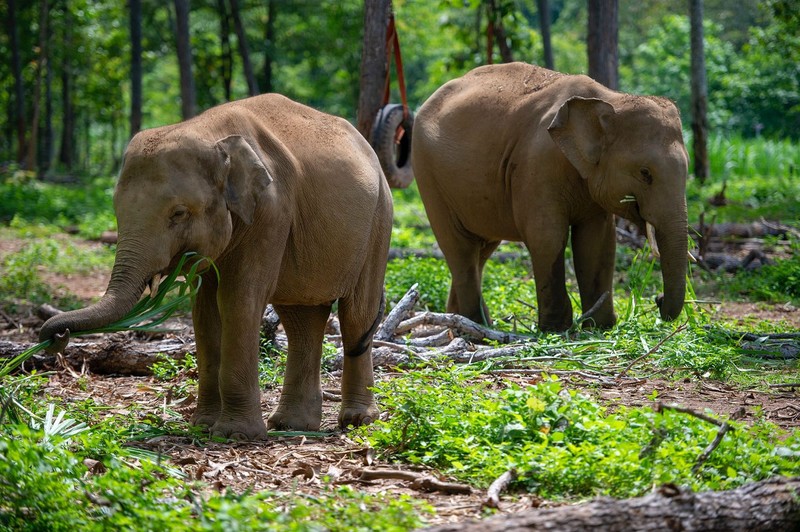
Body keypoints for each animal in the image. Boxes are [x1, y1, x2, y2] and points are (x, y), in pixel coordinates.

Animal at [39, 93, 396, 438]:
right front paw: (203, 425)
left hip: (380, 219)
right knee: (301, 320)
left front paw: (236, 434)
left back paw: (357, 421)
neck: (211, 133)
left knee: (356, 315)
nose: (57, 336)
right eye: (117, 211)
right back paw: (291, 425)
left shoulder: (271, 210)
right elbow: (205, 309)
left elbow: (238, 299)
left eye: (179, 213)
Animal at [412, 63, 688, 332]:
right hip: (428, 176)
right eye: (645, 173)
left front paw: (601, 327)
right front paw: (556, 329)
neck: (610, 99)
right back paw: (477, 325)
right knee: (459, 248)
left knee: (481, 248)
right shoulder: (536, 166)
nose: (658, 299)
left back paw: (458, 320)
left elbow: (598, 241)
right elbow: (547, 236)